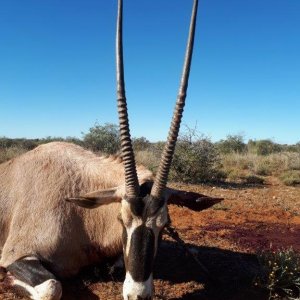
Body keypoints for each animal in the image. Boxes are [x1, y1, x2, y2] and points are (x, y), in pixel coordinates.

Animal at [0, 0, 199, 298]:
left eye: (164, 225)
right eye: (121, 220)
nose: (137, 294)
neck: (80, 213)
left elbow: (115, 266)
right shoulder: (17, 253)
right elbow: (52, 287)